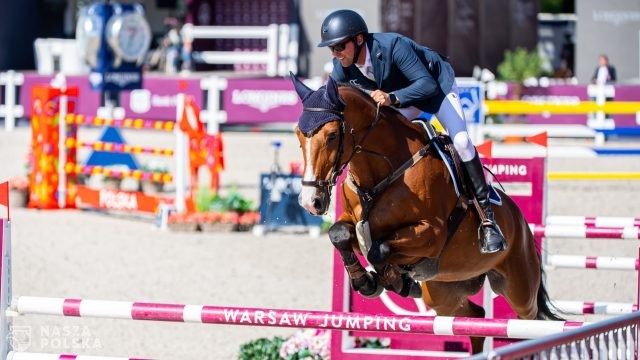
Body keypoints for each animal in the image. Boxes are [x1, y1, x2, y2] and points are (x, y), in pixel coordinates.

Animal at [290, 74, 560, 352]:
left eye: (332, 135)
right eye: (299, 134)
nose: (310, 201)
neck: (382, 173)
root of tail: (522, 223)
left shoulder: (431, 234)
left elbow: (379, 250)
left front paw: (393, 279)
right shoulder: (357, 225)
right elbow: (339, 234)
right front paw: (368, 281)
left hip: (520, 291)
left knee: (531, 322)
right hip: (443, 292)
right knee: (475, 317)